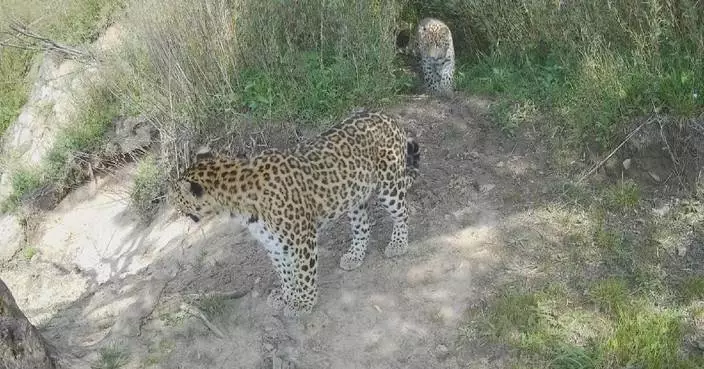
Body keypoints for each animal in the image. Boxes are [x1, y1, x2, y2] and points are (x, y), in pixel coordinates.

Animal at [169, 110, 424, 316]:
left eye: (178, 197)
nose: (175, 208)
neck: (237, 204)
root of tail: (389, 116)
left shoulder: (302, 238)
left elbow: (303, 272)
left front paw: (303, 303)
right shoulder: (273, 242)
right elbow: (285, 272)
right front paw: (287, 296)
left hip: (388, 185)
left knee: (402, 213)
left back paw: (398, 243)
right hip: (354, 195)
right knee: (362, 226)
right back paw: (354, 256)